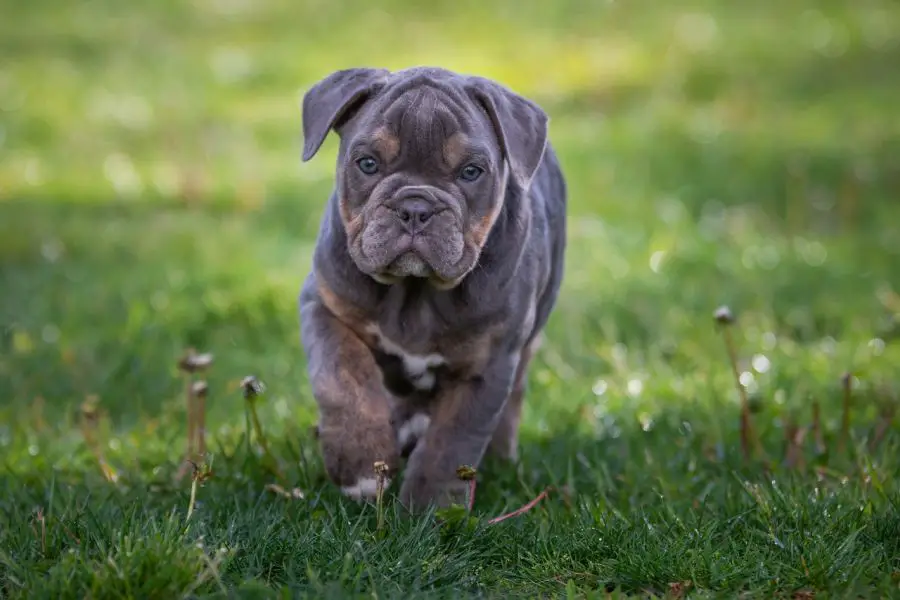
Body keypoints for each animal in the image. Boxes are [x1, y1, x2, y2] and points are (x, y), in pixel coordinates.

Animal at [298, 65, 568, 508]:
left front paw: (428, 508)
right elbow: (342, 380)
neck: (415, 291)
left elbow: (451, 443)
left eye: (471, 172)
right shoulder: (324, 307)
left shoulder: (486, 367)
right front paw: (360, 464)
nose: (415, 208)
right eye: (367, 163)